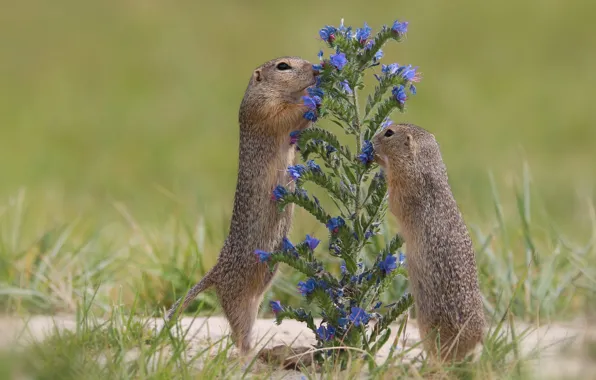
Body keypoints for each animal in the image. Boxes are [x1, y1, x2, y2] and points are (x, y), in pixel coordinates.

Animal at [165, 55, 318, 354]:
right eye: (283, 66)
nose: (318, 69)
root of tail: (216, 271)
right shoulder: (264, 111)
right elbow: (286, 116)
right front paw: (312, 96)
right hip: (239, 301)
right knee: (239, 338)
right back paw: (249, 358)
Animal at [372, 124, 484, 362]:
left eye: (389, 133)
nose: (372, 140)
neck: (424, 167)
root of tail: (476, 342)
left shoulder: (402, 189)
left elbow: (393, 199)